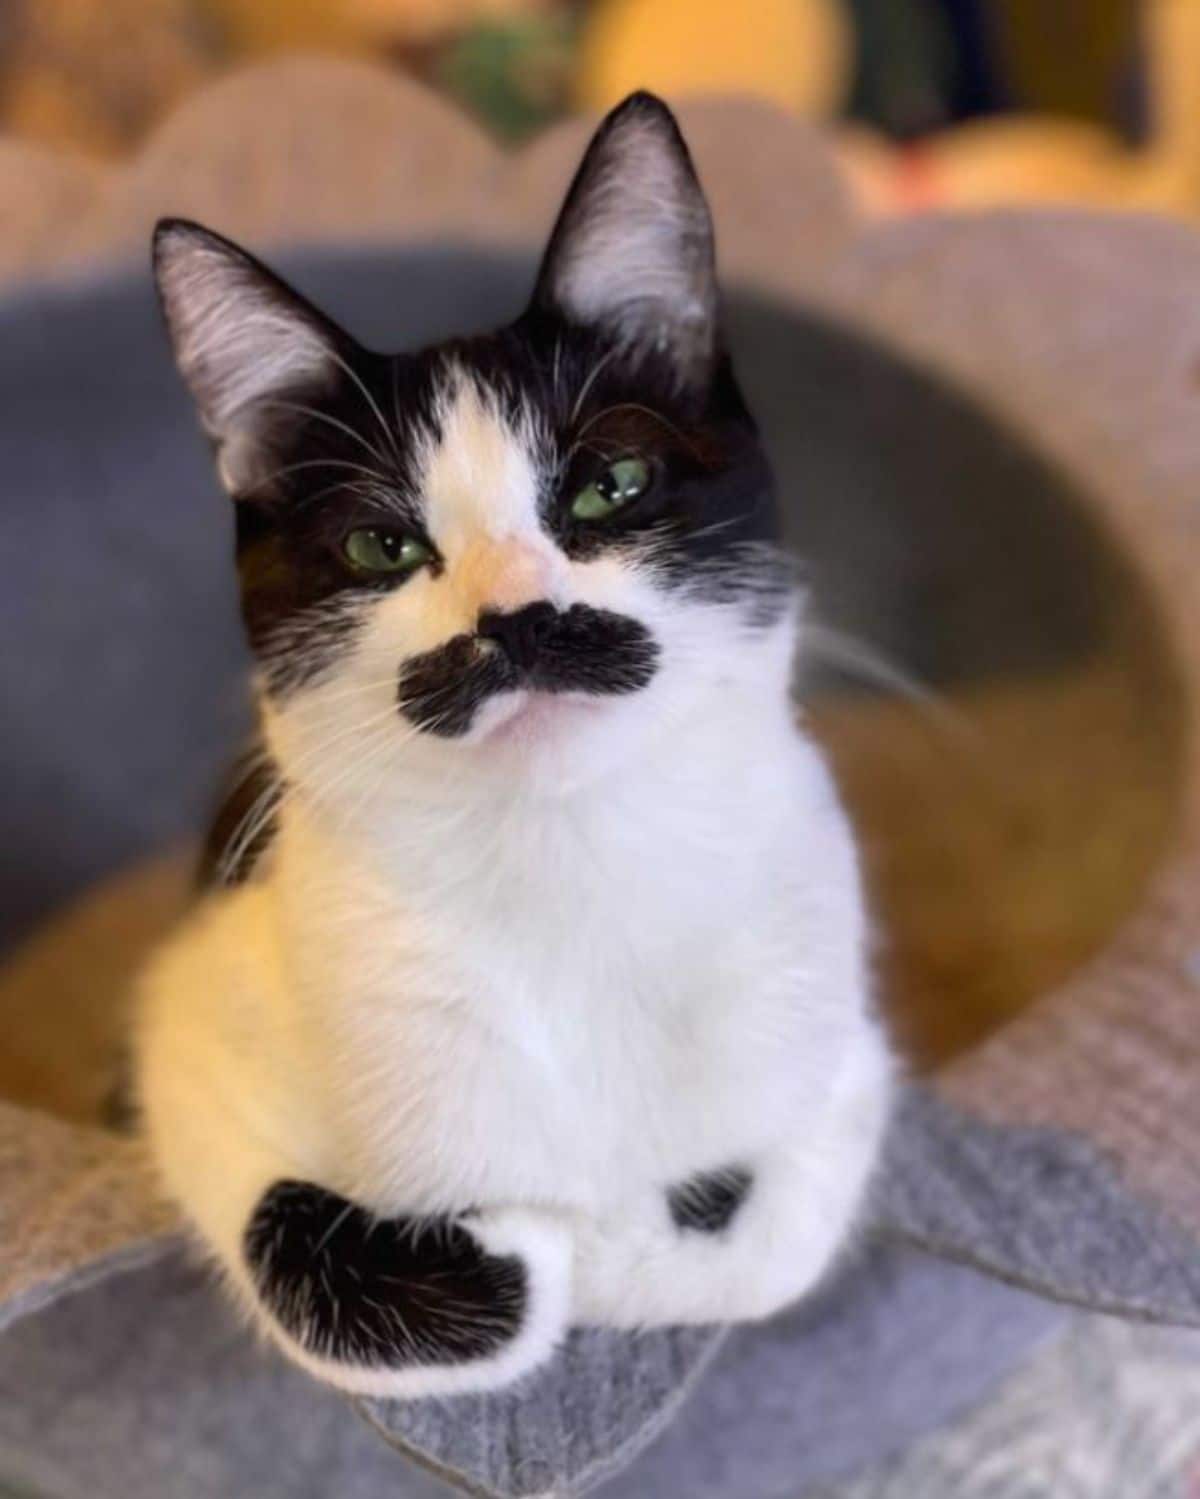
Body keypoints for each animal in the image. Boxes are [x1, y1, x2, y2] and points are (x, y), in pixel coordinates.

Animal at [137, 93, 886, 1403]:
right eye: (382, 546)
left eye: (610, 485)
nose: (517, 619)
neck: (566, 867)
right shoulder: (195, 1018)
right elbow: (356, 1251)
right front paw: (533, 1234)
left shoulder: (840, 1051)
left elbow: (759, 1228)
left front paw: (621, 1233)